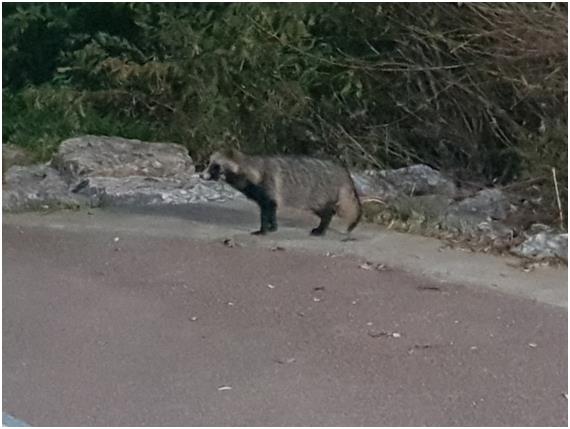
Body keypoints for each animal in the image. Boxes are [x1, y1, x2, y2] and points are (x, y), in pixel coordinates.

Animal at [199, 149, 360, 236]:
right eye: (208, 163)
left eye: (215, 166)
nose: (200, 175)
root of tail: (342, 171)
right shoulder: (264, 193)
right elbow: (271, 209)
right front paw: (273, 226)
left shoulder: (267, 185)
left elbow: (267, 210)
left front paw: (263, 229)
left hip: (319, 192)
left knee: (326, 211)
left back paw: (322, 227)